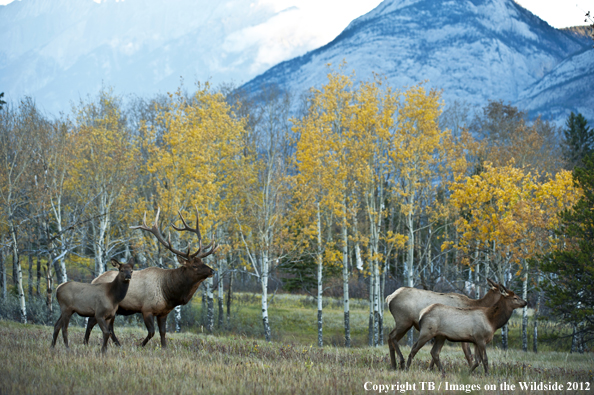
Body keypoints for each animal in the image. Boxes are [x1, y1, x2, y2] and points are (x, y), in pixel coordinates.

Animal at [84, 209, 219, 348]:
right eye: (194, 265)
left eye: (202, 261)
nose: (212, 271)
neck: (169, 292)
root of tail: (94, 280)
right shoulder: (147, 309)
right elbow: (152, 332)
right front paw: (140, 345)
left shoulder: (164, 312)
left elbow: (163, 332)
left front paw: (164, 348)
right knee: (92, 322)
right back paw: (86, 342)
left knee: (109, 327)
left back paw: (117, 344)